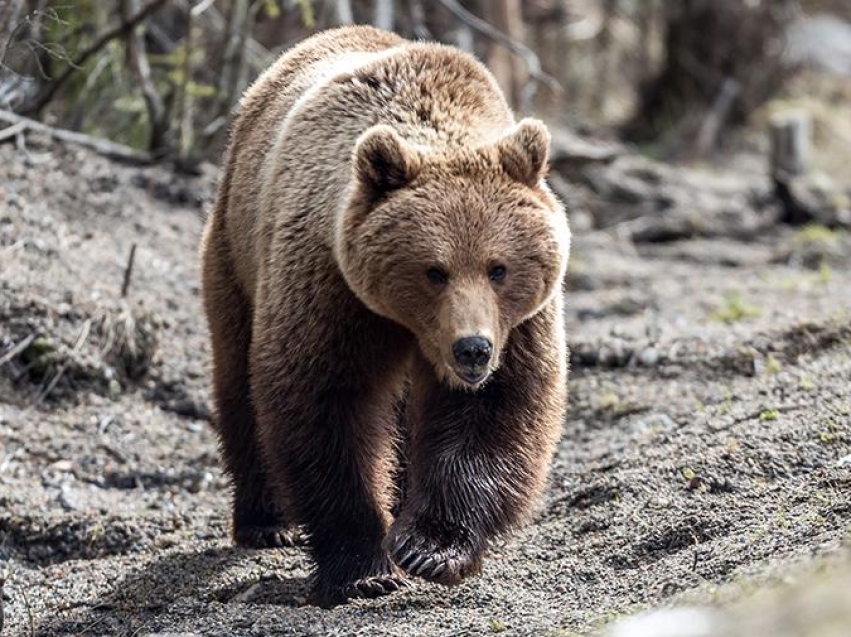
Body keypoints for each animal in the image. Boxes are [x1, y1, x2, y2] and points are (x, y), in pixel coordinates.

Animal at [201, 24, 572, 608]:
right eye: (434, 270)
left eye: (499, 268)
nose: (472, 349)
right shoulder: (331, 287)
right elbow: (326, 402)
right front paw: (363, 568)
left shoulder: (520, 324)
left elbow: (495, 408)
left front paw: (430, 547)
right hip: (235, 254)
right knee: (239, 380)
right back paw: (266, 521)